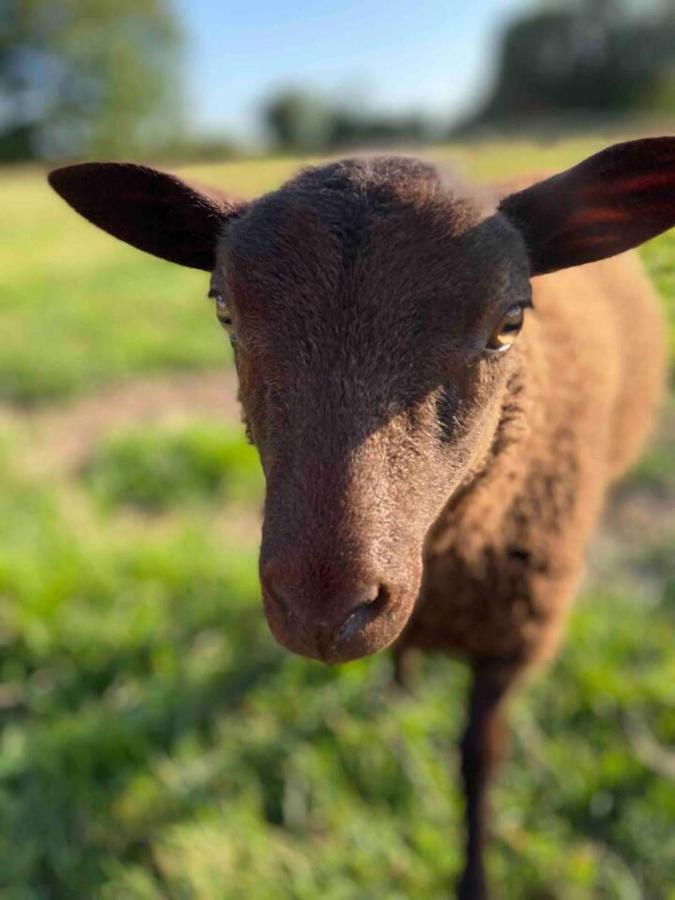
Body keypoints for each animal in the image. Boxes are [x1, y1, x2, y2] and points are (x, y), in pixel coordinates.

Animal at [48, 137, 672, 896]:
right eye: (224, 311)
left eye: (510, 324)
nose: (321, 611)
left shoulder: (513, 638)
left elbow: (479, 762)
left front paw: (473, 877)